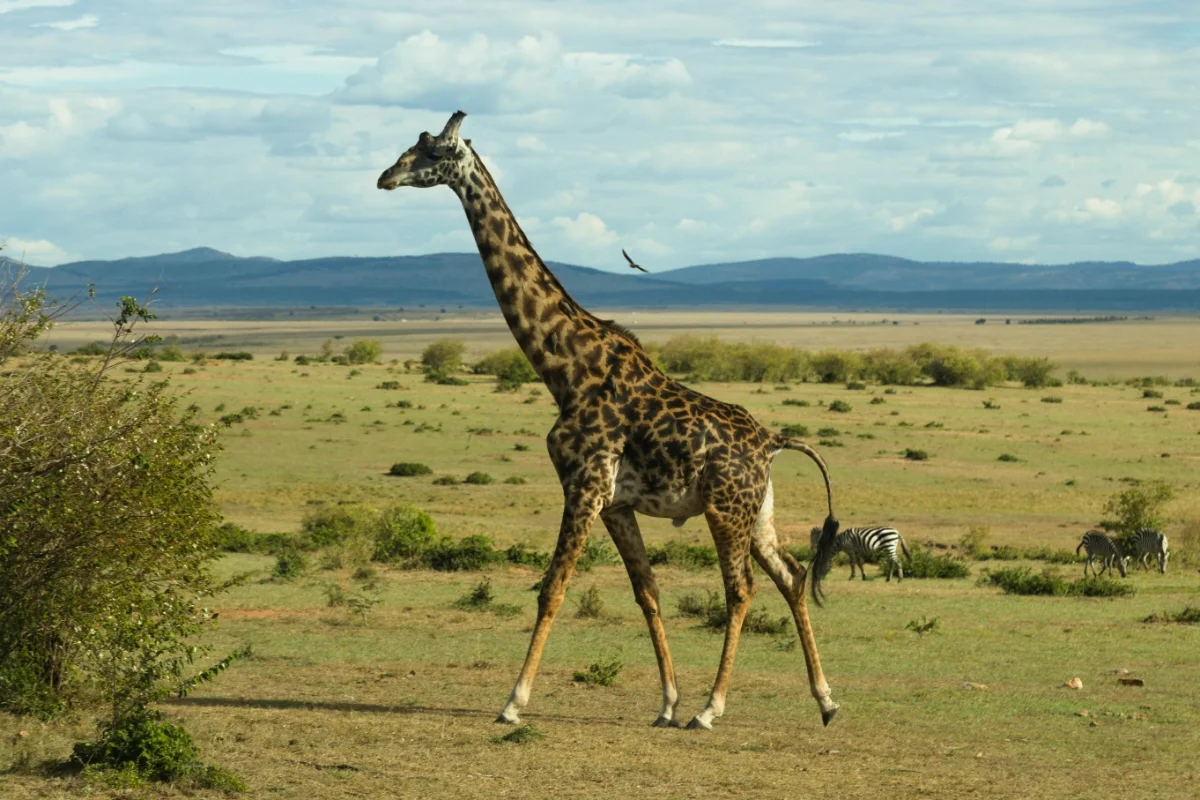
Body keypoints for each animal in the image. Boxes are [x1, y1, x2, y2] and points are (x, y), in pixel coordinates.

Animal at [377, 111, 842, 730]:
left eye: (430, 152)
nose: (384, 177)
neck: (566, 368)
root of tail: (771, 441)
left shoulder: (584, 484)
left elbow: (552, 588)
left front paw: (513, 703)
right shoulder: (617, 502)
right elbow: (647, 591)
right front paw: (666, 702)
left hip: (725, 507)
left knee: (741, 588)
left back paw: (712, 709)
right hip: (757, 512)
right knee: (791, 574)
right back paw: (825, 700)